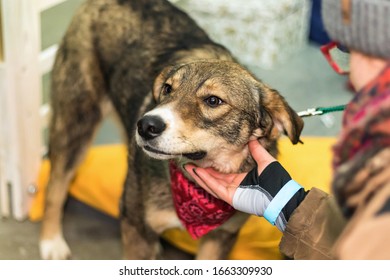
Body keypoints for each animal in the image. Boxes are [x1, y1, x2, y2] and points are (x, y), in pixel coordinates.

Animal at [40, 0, 304, 260]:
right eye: (167, 89)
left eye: (213, 101)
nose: (146, 126)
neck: (195, 189)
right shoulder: (136, 225)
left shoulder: (221, 237)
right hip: (75, 124)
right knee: (55, 185)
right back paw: (51, 241)